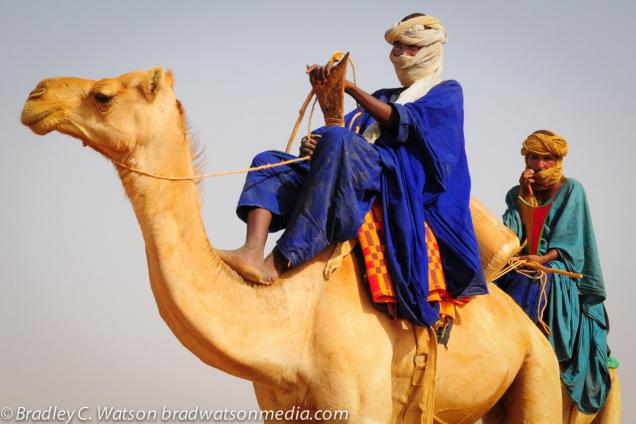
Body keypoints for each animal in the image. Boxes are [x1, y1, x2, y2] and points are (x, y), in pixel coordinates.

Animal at [19, 66, 612, 420]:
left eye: (102, 95)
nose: (35, 95)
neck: (290, 322)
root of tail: (533, 327)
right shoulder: (279, 406)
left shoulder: (360, 401)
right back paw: (248, 258)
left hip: (537, 374)